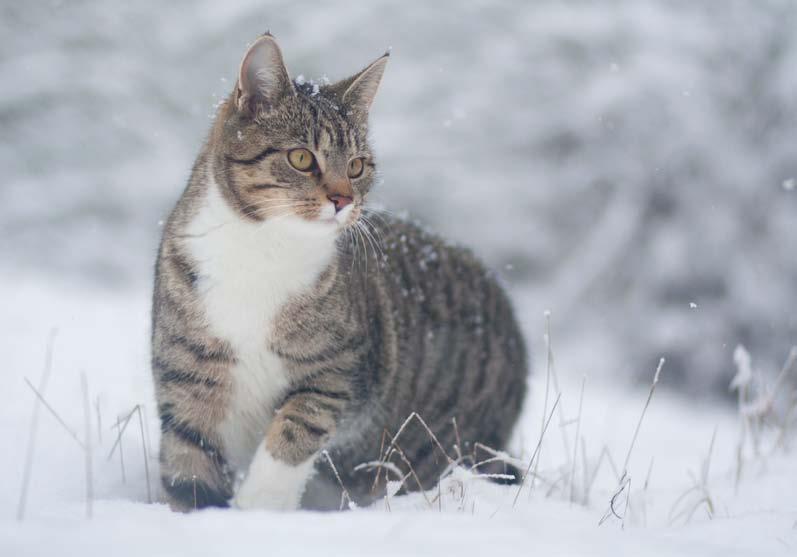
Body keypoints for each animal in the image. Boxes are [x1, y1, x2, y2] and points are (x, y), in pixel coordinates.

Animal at [152, 33, 532, 512]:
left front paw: (258, 509)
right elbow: (190, 460)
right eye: (301, 157)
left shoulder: (341, 373)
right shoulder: (187, 372)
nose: (343, 199)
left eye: (356, 166)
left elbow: (295, 430)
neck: (262, 249)